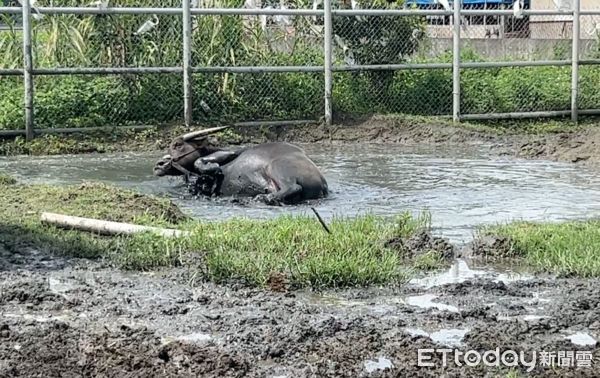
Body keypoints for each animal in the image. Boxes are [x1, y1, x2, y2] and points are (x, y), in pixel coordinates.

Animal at [152, 126, 326, 204]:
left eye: (178, 145)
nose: (158, 165)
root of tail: (322, 183)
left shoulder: (229, 153)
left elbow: (200, 162)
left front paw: (212, 168)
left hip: (277, 167)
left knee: (293, 187)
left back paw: (264, 197)